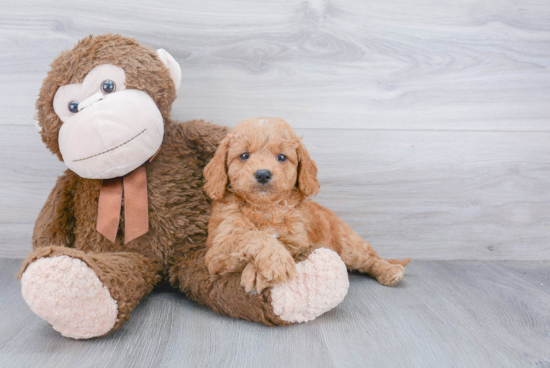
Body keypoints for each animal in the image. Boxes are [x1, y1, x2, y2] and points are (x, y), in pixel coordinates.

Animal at [205, 118, 412, 294]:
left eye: (282, 157)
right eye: (244, 155)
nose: (263, 174)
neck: (266, 208)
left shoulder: (299, 241)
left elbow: (282, 243)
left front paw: (257, 273)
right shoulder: (215, 253)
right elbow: (253, 236)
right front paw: (275, 263)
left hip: (349, 244)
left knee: (370, 258)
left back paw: (390, 271)